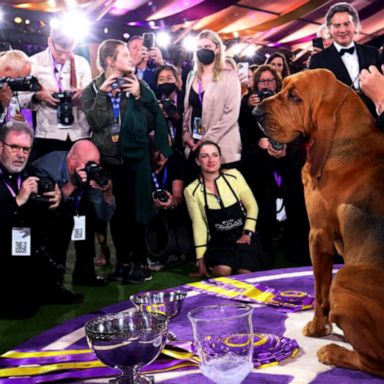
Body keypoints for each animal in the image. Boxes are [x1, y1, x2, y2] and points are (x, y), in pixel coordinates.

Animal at [255, 68, 384, 376]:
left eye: (295, 97)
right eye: (282, 86)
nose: (254, 111)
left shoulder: (318, 235)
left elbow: (319, 291)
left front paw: (316, 328)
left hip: (345, 277)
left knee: (375, 362)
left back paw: (333, 352)